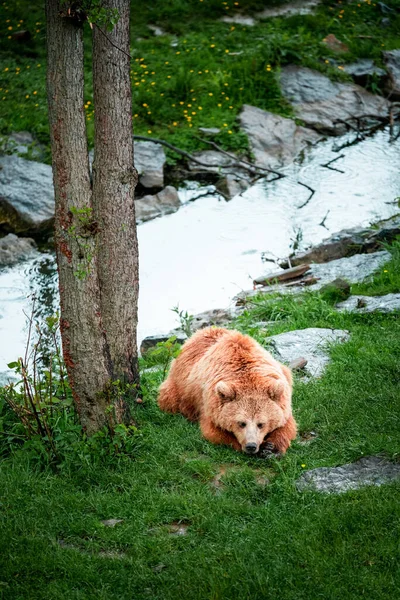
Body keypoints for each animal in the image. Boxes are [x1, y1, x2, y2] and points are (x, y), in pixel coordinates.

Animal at [158, 328, 296, 454]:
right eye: (241, 423)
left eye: (261, 423)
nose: (251, 446)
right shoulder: (209, 402)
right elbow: (213, 431)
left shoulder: (282, 398)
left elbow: (287, 425)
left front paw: (271, 448)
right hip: (179, 387)